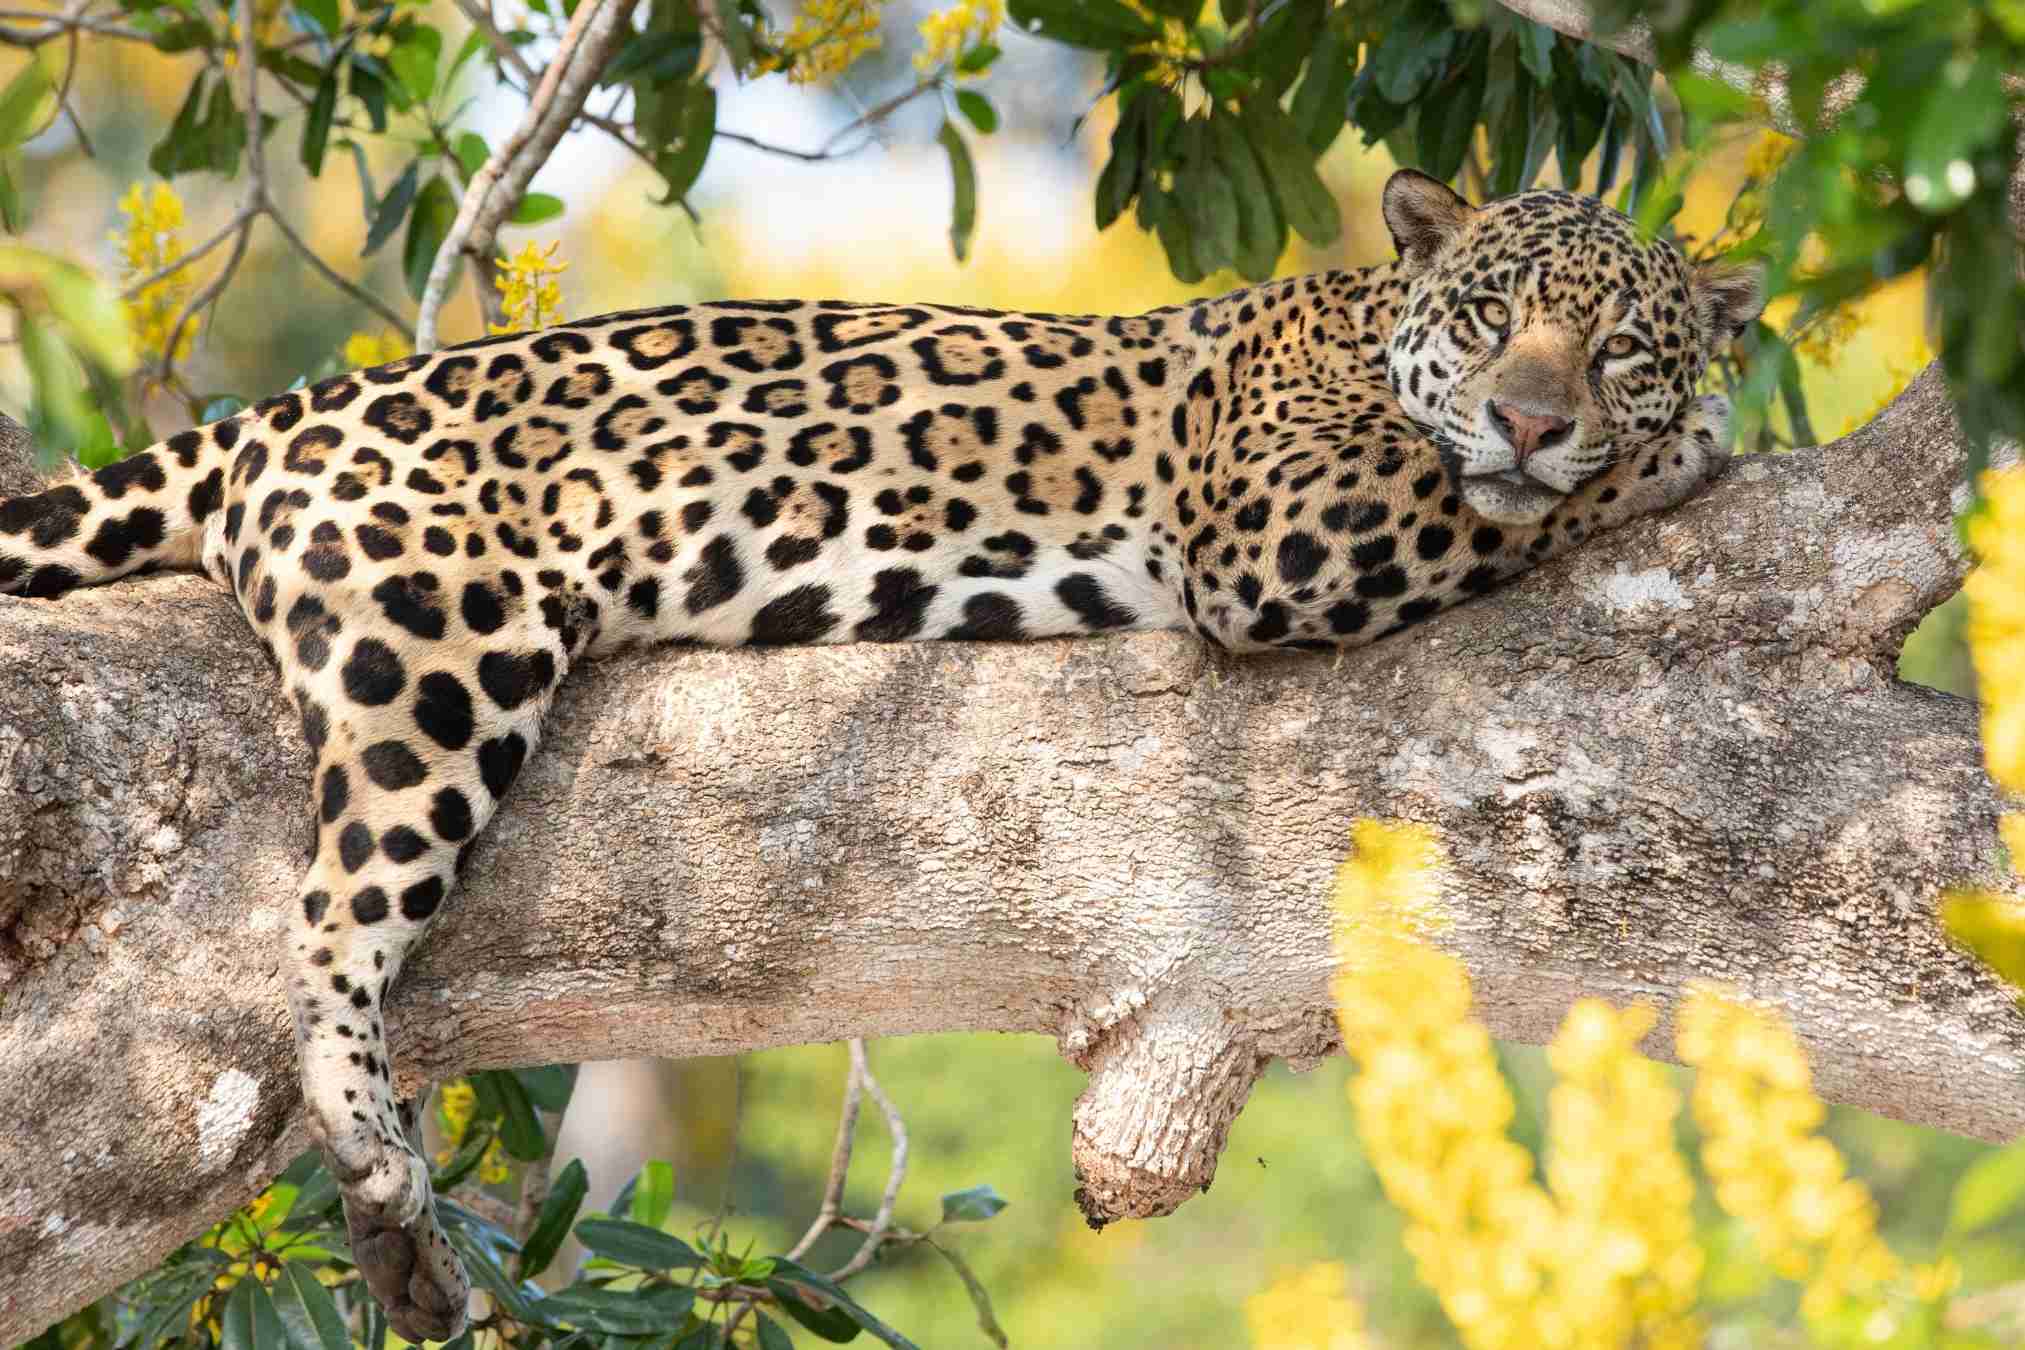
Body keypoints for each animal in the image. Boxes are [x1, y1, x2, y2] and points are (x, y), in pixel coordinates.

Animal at [0, 169, 1760, 1339]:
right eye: (1496, 322)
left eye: (1617, 344)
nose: (1533, 416)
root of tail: (289, 409)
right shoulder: (1280, 524)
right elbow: (1496, 500)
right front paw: (1689, 443)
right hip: (437, 652)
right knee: (330, 916)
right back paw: (384, 1173)